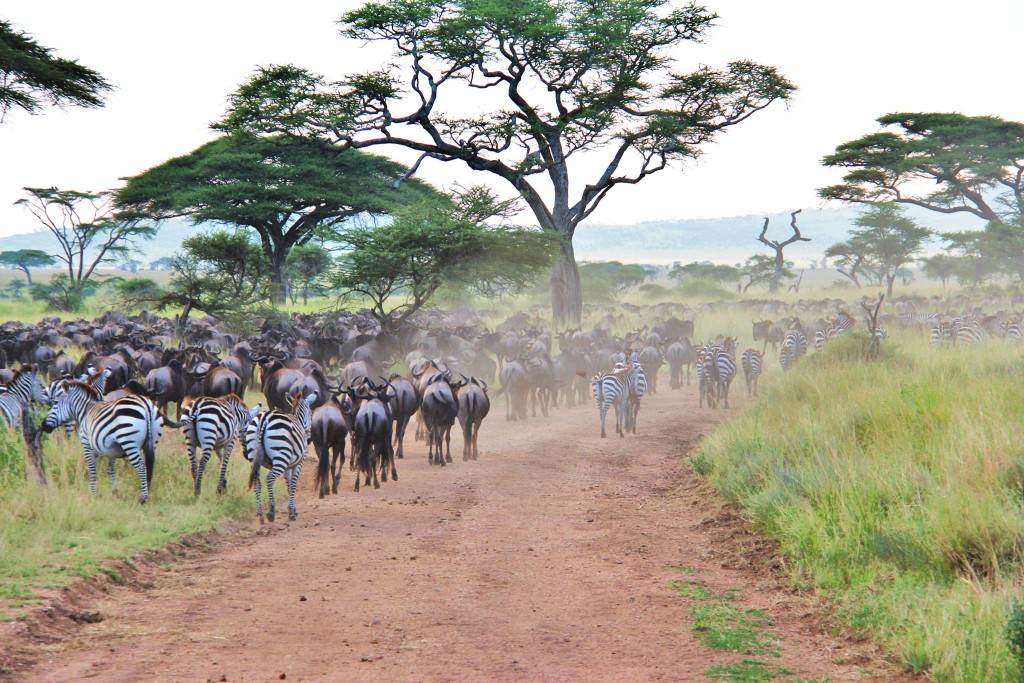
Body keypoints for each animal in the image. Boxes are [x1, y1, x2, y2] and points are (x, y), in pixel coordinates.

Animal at [244, 389, 315, 524]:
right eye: (311, 413)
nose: (309, 439)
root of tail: (264, 418)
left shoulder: (288, 466)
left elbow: (288, 485)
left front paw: (292, 510)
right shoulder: (299, 462)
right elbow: (293, 484)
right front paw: (292, 513)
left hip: (253, 456)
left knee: (257, 482)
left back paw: (260, 515)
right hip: (281, 456)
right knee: (270, 478)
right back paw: (271, 512)